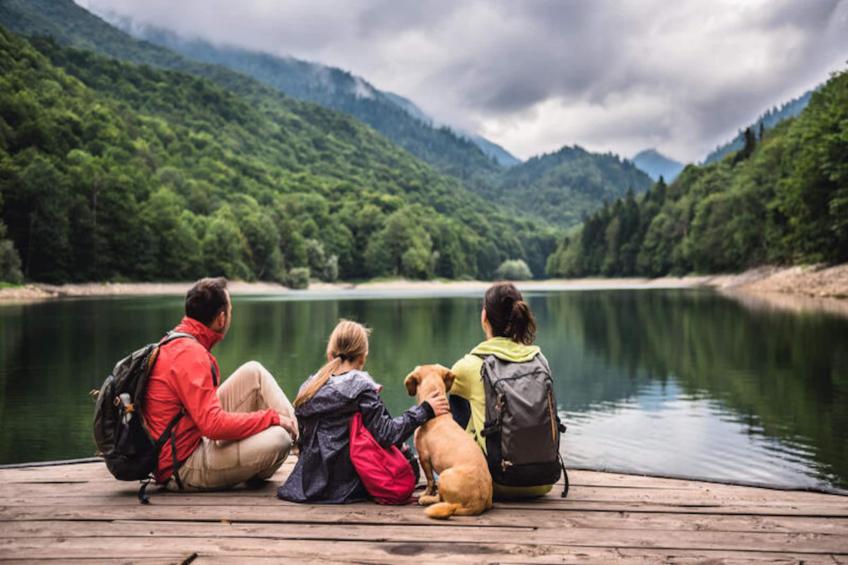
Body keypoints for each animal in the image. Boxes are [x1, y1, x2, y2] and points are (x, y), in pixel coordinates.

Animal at [402, 364, 490, 516]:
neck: (437, 415)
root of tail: (477, 503)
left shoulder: (423, 457)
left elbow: (430, 481)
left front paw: (424, 493)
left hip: (444, 475)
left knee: (441, 499)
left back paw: (425, 499)